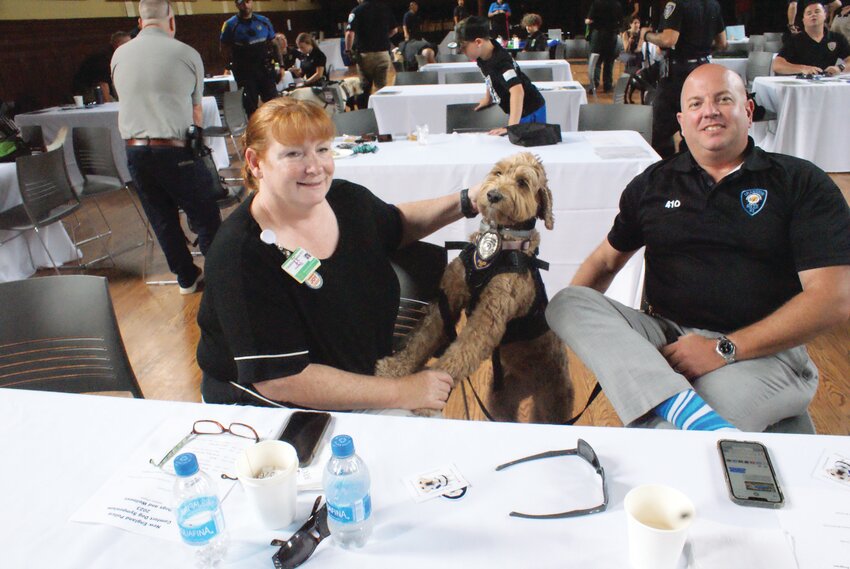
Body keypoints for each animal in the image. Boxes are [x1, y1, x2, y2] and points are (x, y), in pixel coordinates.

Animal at [374, 151, 572, 422]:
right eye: (498, 172)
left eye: (522, 182)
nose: (493, 195)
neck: (501, 239)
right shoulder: (449, 297)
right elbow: (421, 339)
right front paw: (394, 369)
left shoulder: (489, 317)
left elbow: (460, 353)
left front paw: (428, 394)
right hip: (502, 398)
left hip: (552, 405)